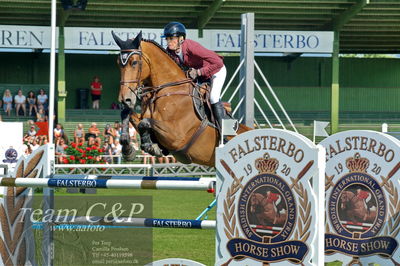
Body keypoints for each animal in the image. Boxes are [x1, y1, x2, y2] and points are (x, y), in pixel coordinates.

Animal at [111, 31, 252, 166]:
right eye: (118, 64)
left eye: (134, 62)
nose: (125, 99)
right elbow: (128, 115)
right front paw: (128, 150)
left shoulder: (176, 136)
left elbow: (144, 123)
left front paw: (149, 146)